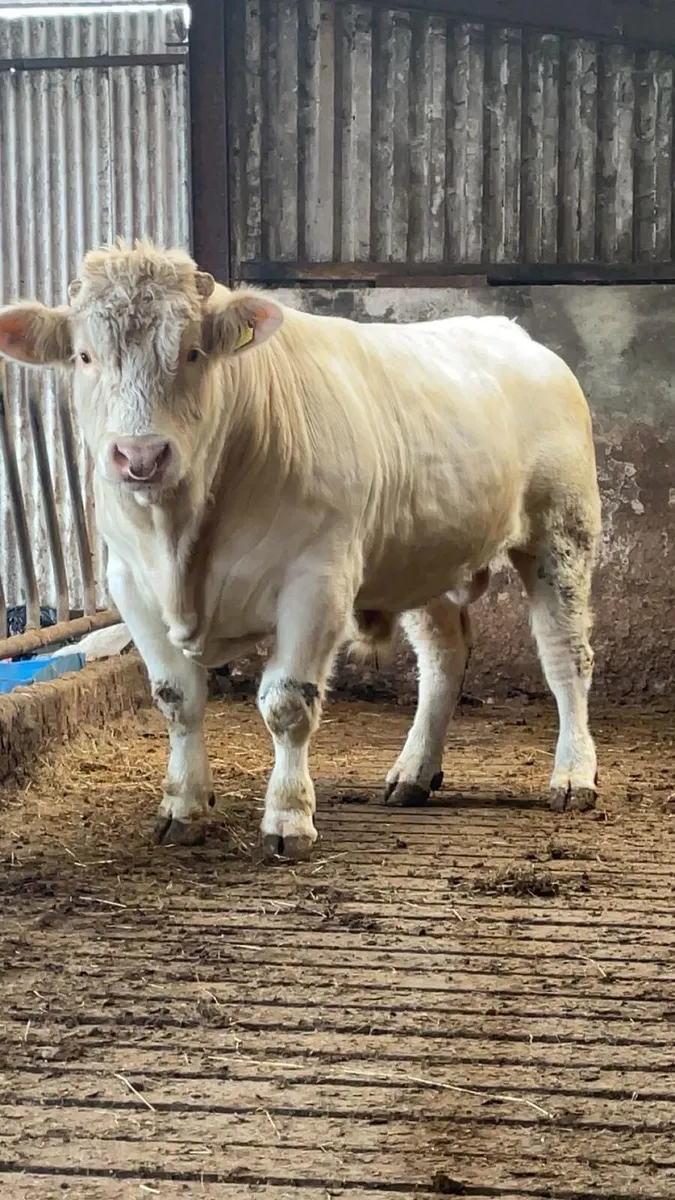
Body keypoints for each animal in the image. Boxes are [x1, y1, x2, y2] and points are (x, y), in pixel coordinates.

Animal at [0, 241, 602, 860]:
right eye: (84, 356)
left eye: (193, 352)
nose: (140, 455)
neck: (182, 539)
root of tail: (511, 332)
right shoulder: (130, 584)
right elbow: (176, 698)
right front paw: (182, 806)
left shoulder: (317, 581)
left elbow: (288, 703)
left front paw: (288, 818)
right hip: (421, 554)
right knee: (443, 659)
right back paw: (414, 772)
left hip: (562, 529)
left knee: (565, 655)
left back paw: (573, 775)